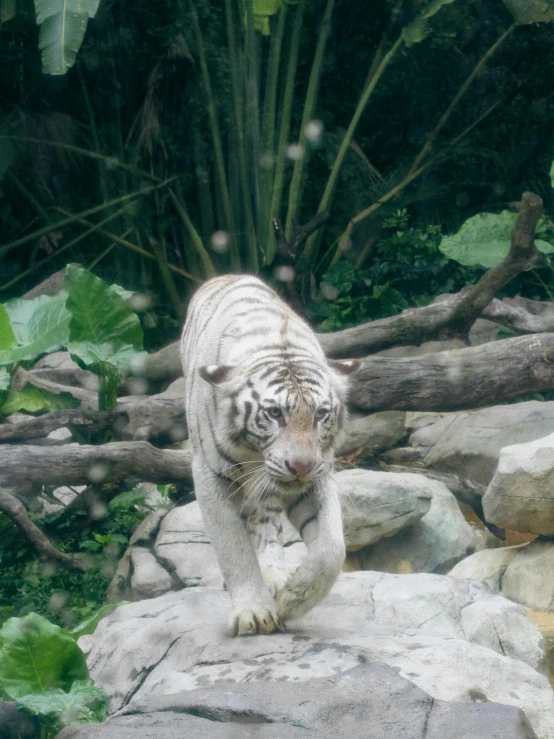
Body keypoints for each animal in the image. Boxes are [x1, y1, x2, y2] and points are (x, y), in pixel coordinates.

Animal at [180, 278, 358, 636]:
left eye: (320, 414)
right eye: (275, 413)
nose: (300, 466)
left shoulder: (318, 475)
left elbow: (332, 547)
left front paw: (292, 599)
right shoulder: (210, 475)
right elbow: (233, 547)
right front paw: (252, 612)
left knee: (268, 525)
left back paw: (275, 575)